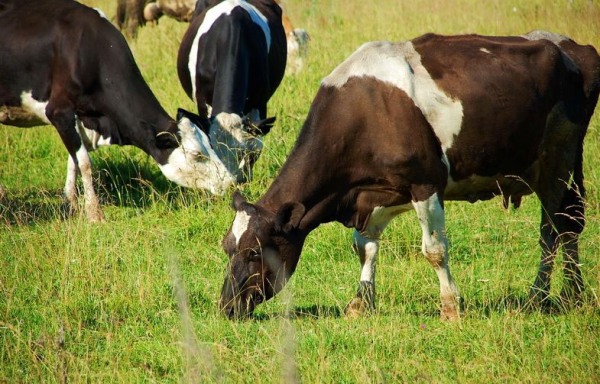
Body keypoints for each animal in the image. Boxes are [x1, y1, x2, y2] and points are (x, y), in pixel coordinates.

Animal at [0, 0, 234, 222]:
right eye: (197, 154)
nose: (230, 182)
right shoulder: (59, 111)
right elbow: (84, 163)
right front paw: (94, 213)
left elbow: (73, 161)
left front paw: (71, 203)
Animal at [177, 0, 288, 184]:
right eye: (213, 150)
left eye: (240, 153)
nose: (230, 183)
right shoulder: (202, 100)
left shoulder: (260, 102)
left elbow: (255, 146)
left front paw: (245, 178)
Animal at [218, 30, 600, 320]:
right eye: (227, 248)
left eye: (253, 253)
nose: (226, 307)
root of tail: (569, 46)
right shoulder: (374, 194)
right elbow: (365, 248)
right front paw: (361, 303)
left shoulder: (425, 182)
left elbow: (435, 250)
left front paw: (450, 309)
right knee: (567, 222)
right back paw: (568, 295)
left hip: (557, 159)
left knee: (556, 227)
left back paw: (546, 296)